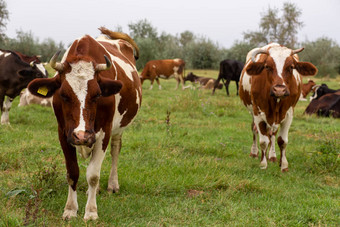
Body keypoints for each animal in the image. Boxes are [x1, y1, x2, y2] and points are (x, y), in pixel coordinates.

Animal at [27, 26, 142, 220]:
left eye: (97, 95)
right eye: (64, 95)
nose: (82, 135)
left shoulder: (104, 133)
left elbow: (93, 175)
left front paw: (91, 212)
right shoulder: (63, 133)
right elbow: (73, 172)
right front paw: (70, 209)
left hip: (118, 129)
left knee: (115, 150)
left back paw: (112, 184)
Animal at [239, 42, 318, 171]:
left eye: (291, 67)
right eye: (267, 66)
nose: (279, 90)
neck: (276, 101)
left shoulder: (289, 113)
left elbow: (282, 140)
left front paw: (283, 165)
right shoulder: (257, 113)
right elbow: (263, 141)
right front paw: (263, 164)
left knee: (272, 134)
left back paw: (272, 156)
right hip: (252, 112)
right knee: (255, 130)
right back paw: (254, 153)